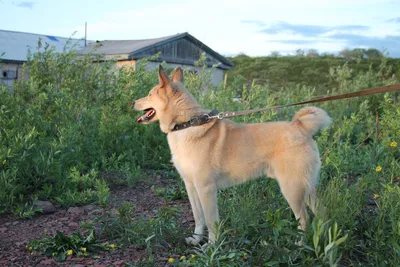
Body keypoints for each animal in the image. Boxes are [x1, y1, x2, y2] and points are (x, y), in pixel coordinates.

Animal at [134, 65, 332, 245]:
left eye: (149, 94)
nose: (133, 102)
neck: (187, 124)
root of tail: (300, 127)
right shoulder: (191, 186)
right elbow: (199, 218)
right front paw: (196, 239)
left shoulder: (206, 189)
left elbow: (211, 221)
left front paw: (211, 247)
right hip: (306, 188)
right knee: (322, 214)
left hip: (292, 189)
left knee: (304, 218)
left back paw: (300, 244)